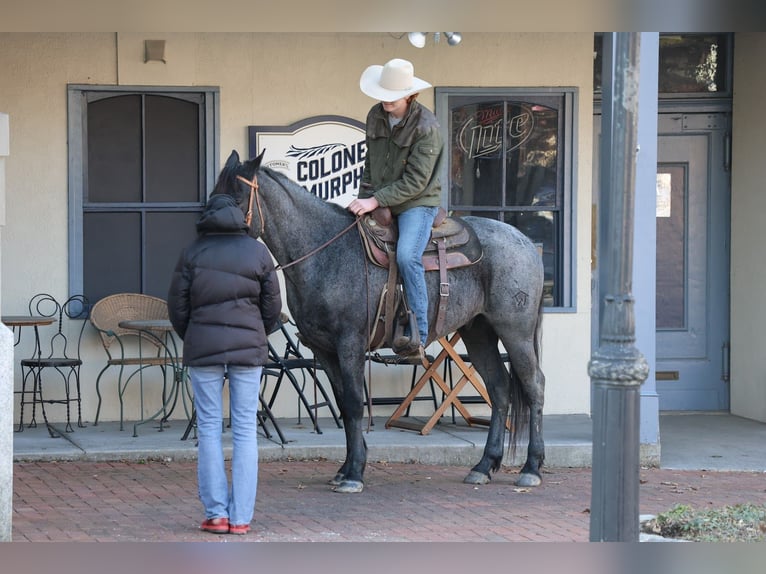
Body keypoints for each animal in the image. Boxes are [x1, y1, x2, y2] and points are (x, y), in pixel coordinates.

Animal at [213, 149, 546, 493]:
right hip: (479, 333)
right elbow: (343, 403)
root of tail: (526, 243)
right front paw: (346, 468)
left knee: (534, 386)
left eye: (236, 197)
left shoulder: (350, 343)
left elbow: (354, 402)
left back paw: (531, 468)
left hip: (515, 332)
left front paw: (355, 473)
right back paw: (483, 466)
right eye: (213, 194)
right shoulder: (323, 349)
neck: (325, 252)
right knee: (499, 389)